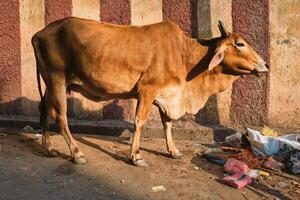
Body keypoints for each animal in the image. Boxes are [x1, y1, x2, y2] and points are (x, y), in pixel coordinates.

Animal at [31, 17, 268, 167]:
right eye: (240, 44)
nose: (265, 65)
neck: (185, 56)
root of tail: (39, 33)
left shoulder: (167, 95)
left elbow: (167, 124)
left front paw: (173, 151)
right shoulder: (147, 90)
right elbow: (139, 122)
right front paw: (136, 156)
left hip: (51, 84)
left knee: (44, 111)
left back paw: (48, 149)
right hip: (57, 80)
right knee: (60, 118)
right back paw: (77, 153)